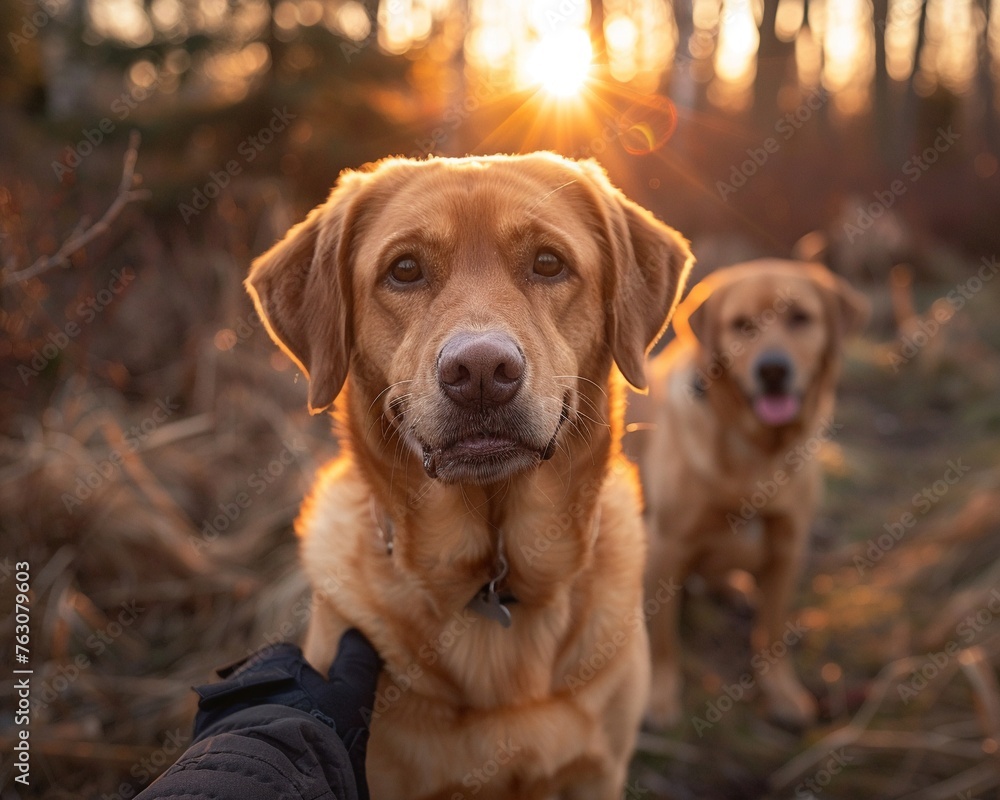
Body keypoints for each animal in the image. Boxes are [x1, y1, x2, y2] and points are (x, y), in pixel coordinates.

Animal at [632, 260, 868, 732]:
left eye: (800, 318)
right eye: (741, 325)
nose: (772, 370)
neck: (755, 451)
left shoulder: (787, 546)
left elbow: (771, 631)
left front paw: (782, 694)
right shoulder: (667, 544)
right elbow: (663, 638)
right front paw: (660, 696)